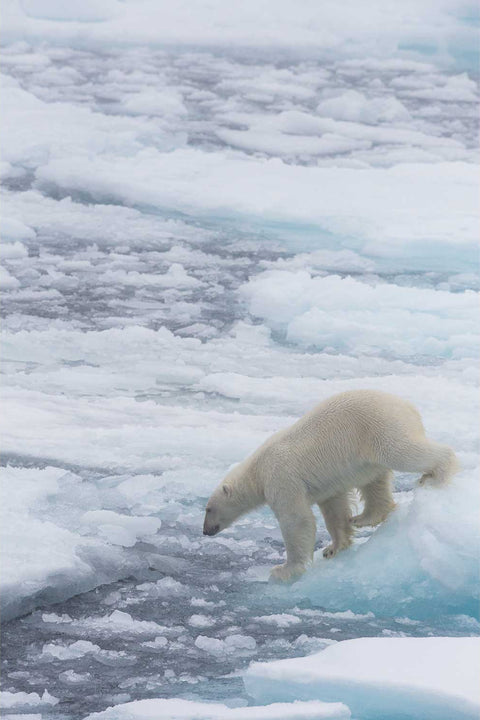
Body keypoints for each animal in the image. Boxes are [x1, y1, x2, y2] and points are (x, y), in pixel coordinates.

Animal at [203, 389, 459, 582]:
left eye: (208, 508)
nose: (205, 531)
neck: (257, 469)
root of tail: (409, 407)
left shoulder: (282, 478)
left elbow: (296, 520)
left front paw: (282, 570)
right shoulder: (325, 486)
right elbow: (334, 508)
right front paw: (333, 547)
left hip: (381, 428)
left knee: (404, 453)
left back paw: (435, 475)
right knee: (374, 482)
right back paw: (363, 517)